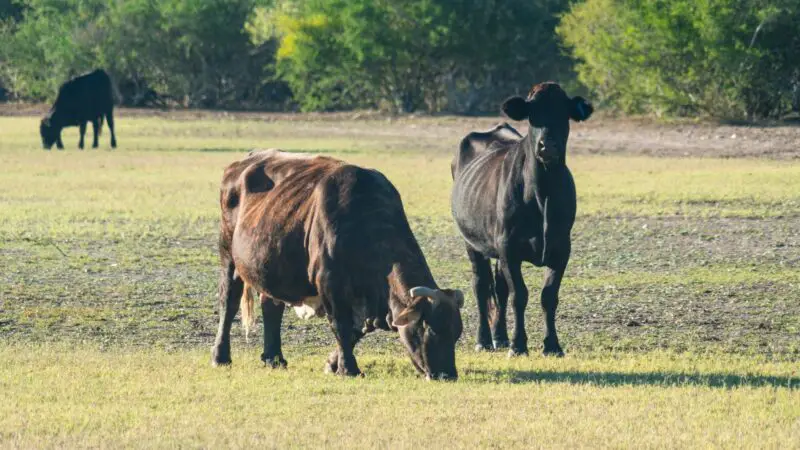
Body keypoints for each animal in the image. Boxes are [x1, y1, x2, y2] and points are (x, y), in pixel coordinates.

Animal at [209, 149, 466, 378]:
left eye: (455, 332)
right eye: (428, 329)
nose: (447, 375)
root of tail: (243, 161)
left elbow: (355, 331)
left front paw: (333, 363)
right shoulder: (330, 283)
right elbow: (341, 326)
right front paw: (348, 369)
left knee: (271, 306)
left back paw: (274, 357)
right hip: (228, 255)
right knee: (229, 302)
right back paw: (220, 356)